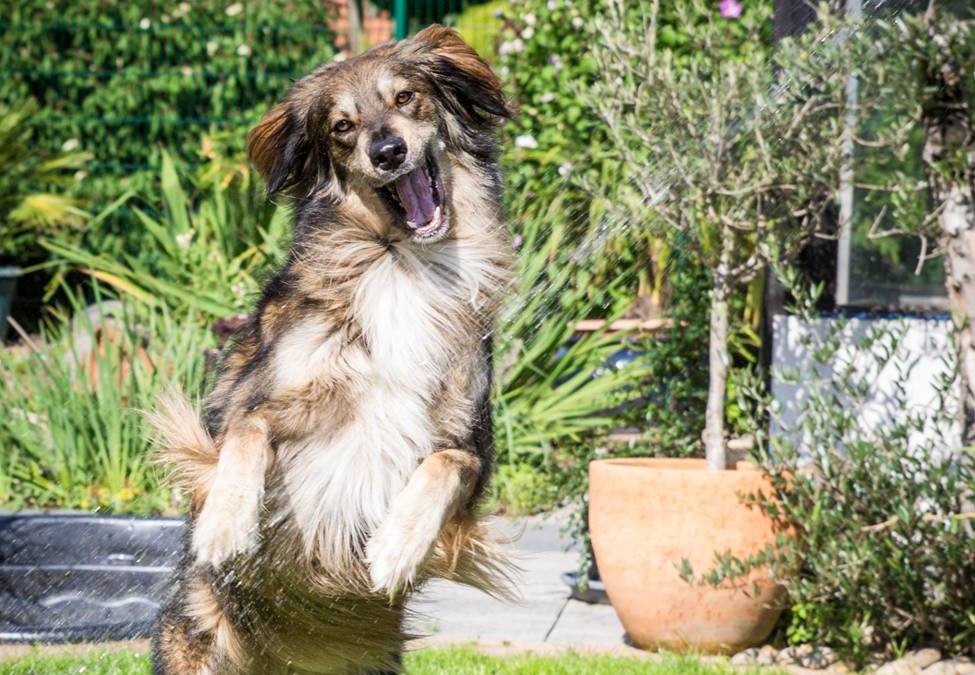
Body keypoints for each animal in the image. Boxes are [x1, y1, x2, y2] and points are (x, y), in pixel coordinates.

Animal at [149, 26, 516, 675]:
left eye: (406, 97)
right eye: (342, 126)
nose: (388, 151)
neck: (400, 262)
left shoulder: (471, 443)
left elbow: (447, 464)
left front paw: (396, 546)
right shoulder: (254, 398)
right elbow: (247, 428)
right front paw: (224, 522)